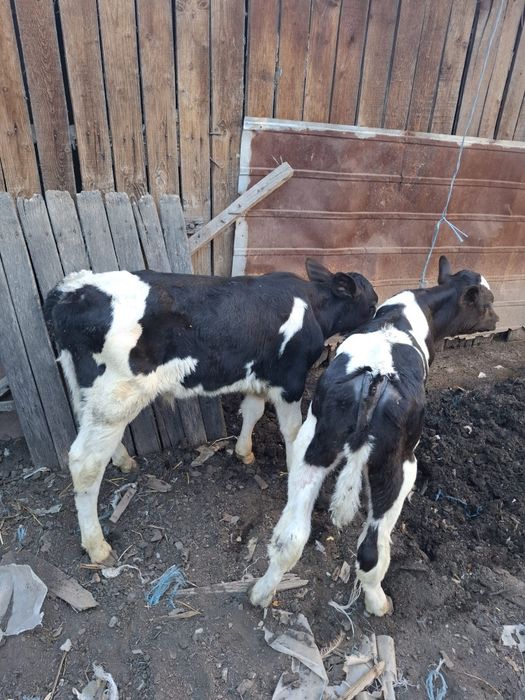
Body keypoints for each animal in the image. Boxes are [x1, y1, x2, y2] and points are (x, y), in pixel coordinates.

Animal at [44, 259, 377, 563]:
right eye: (372, 301)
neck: (311, 305)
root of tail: (70, 289)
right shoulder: (290, 381)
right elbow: (292, 432)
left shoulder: (260, 375)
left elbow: (252, 410)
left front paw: (244, 451)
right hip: (116, 393)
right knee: (85, 462)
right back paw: (96, 545)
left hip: (92, 394)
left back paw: (123, 460)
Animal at [250, 256, 498, 615]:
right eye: (487, 301)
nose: (497, 319)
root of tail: (375, 376)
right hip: (399, 467)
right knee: (371, 551)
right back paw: (379, 602)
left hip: (313, 446)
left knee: (290, 537)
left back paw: (261, 592)